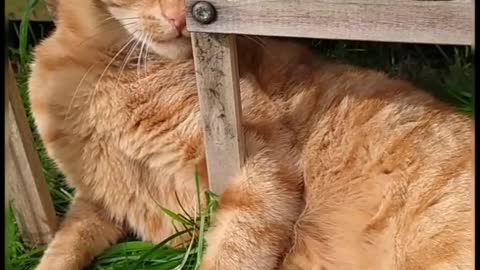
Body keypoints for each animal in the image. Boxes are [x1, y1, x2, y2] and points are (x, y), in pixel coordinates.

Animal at [27, 0, 472, 270]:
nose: (180, 18)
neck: (101, 70)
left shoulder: (259, 162)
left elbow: (232, 250)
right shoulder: (96, 199)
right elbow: (63, 245)